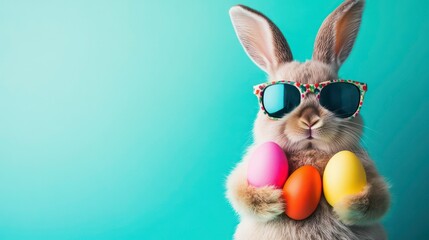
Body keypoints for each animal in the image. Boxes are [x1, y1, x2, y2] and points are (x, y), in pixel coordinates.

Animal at [226, 0, 390, 239]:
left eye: (338, 96)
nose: (310, 120)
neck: (310, 152)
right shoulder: (244, 172)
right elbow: (238, 191)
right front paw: (272, 201)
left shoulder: (372, 176)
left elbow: (378, 199)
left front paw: (346, 206)